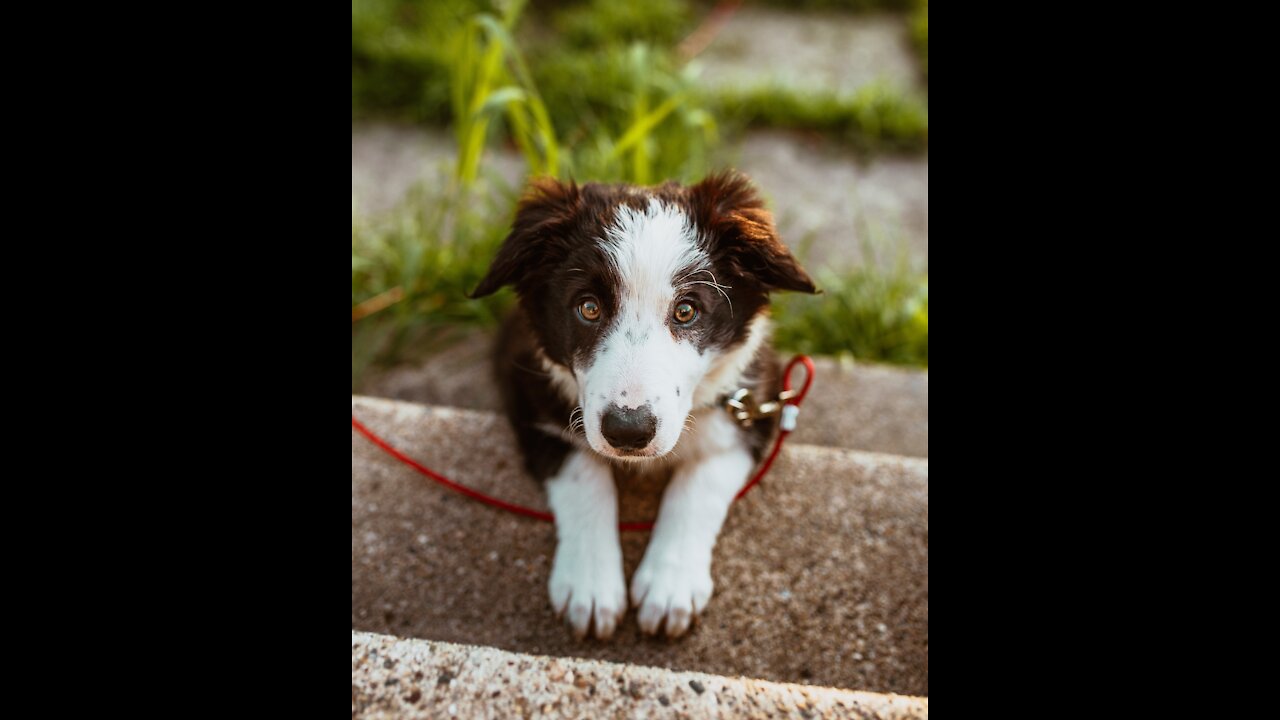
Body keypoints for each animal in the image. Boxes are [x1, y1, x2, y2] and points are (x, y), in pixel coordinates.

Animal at [473, 170, 819, 635]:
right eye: (588, 308)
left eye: (687, 311)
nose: (628, 432)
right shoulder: (527, 392)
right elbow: (584, 473)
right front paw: (590, 585)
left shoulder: (753, 402)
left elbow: (700, 484)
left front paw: (670, 585)